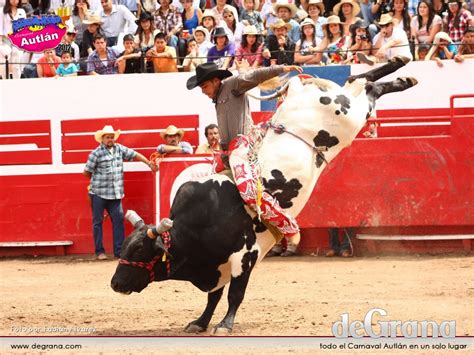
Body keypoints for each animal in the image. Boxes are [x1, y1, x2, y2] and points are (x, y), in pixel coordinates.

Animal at [110, 57, 414, 336]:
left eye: (140, 250)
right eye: (124, 247)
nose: (115, 283)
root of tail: (301, 89)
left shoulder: (246, 258)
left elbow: (234, 294)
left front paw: (225, 325)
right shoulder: (217, 268)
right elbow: (213, 297)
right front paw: (200, 322)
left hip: (349, 114)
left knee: (365, 85)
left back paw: (402, 72)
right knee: (360, 82)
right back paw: (402, 73)